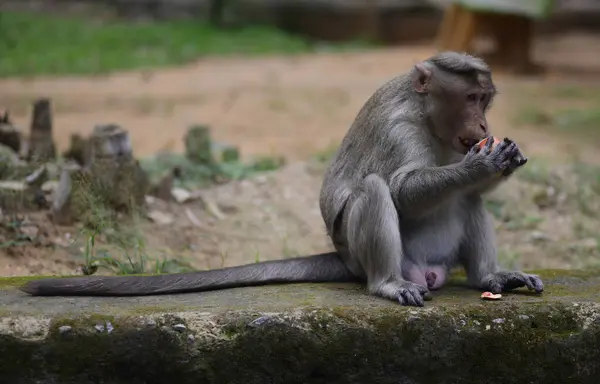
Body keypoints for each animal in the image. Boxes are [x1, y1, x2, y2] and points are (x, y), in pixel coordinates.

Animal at [19, 51, 544, 308]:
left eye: (485, 100)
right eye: (472, 97)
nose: (482, 124)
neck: (429, 118)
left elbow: (469, 192)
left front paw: (503, 159)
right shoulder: (399, 127)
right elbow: (400, 189)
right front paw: (479, 165)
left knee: (469, 202)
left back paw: (488, 277)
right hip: (370, 257)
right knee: (374, 191)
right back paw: (387, 285)